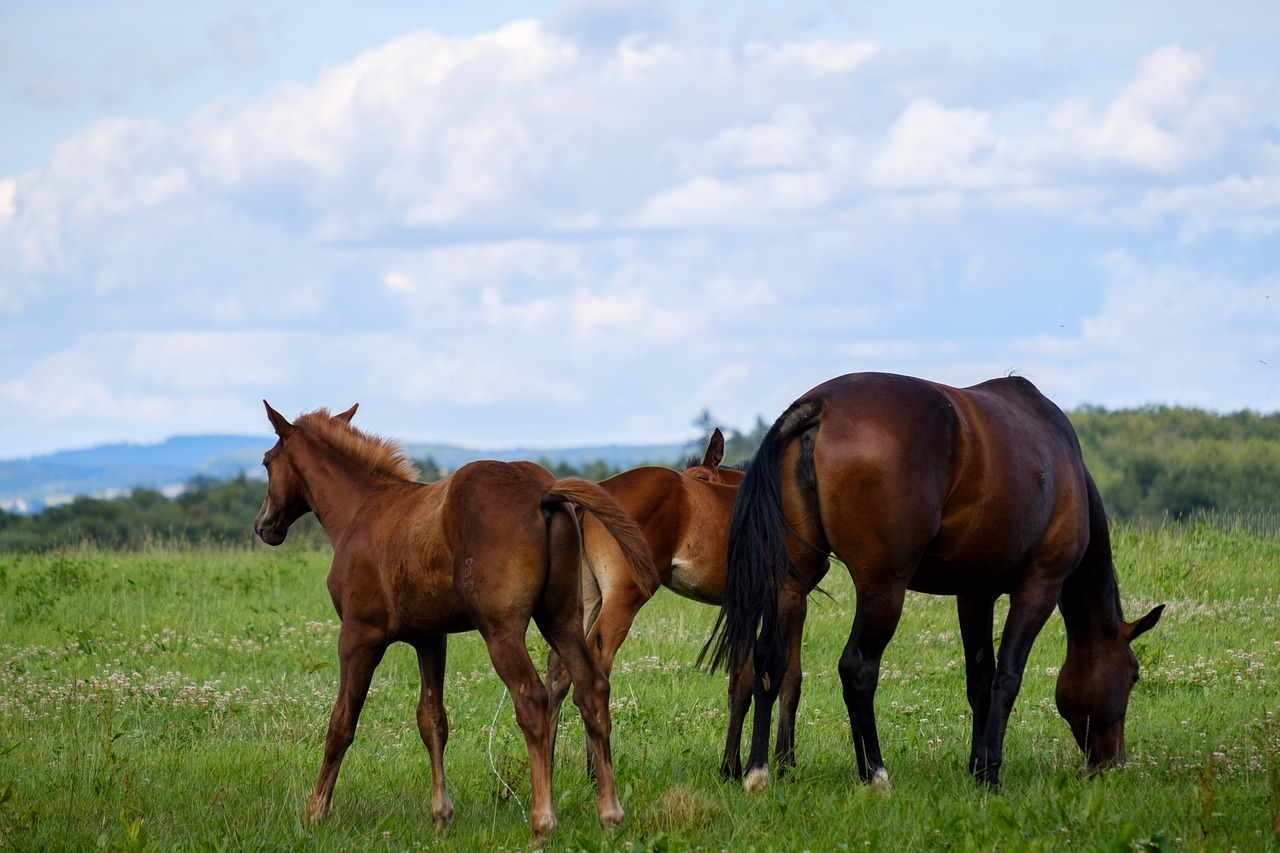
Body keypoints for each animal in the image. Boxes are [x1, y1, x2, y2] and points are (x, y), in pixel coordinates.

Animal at [248, 402, 655, 840]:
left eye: (267, 462)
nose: (263, 525)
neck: (362, 510)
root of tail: (542, 492)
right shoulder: (430, 637)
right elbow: (432, 721)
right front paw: (441, 815)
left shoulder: (359, 634)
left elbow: (341, 722)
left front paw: (315, 811)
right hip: (561, 620)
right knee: (591, 688)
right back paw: (610, 815)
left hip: (501, 631)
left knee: (532, 699)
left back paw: (542, 822)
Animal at [706, 371, 1167, 788]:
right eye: (1132, 675)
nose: (1112, 762)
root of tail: (819, 404)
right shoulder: (1039, 588)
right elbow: (1007, 678)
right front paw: (990, 772)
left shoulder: (975, 594)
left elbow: (981, 680)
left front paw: (976, 766)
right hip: (883, 589)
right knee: (857, 669)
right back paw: (875, 774)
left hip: (790, 583)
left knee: (769, 663)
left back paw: (758, 771)